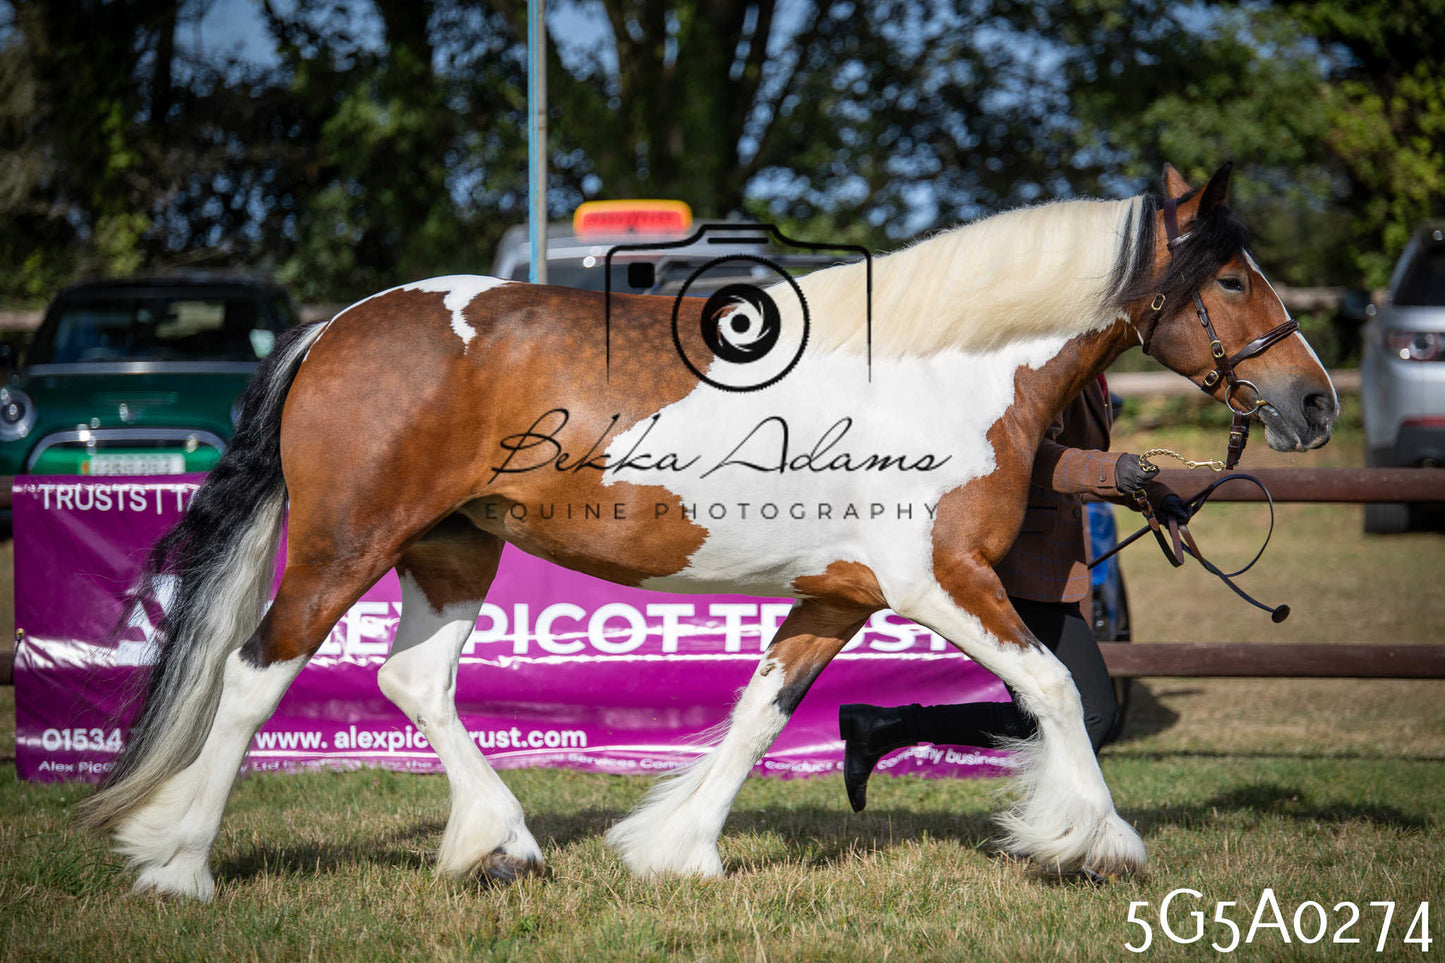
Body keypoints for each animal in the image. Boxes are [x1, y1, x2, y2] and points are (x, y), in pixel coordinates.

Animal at [76, 162, 1336, 900]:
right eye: (1230, 277)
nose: (1313, 402)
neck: (942, 371)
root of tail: (333, 325)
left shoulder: (839, 592)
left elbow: (755, 716)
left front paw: (672, 849)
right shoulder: (937, 579)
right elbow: (1054, 688)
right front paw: (1092, 840)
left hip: (453, 547)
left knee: (413, 684)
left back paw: (498, 843)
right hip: (348, 545)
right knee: (255, 674)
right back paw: (178, 865)